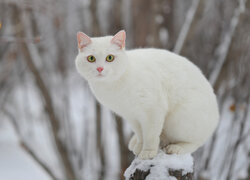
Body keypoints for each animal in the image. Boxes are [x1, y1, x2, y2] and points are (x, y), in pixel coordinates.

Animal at [74, 30, 219, 160]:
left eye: (110, 58)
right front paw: (139, 146)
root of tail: (216, 116)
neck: (113, 86)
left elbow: (150, 135)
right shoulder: (131, 116)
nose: (100, 69)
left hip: (179, 120)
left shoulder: (153, 110)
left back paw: (176, 148)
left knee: (196, 142)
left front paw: (148, 152)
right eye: (91, 58)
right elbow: (140, 133)